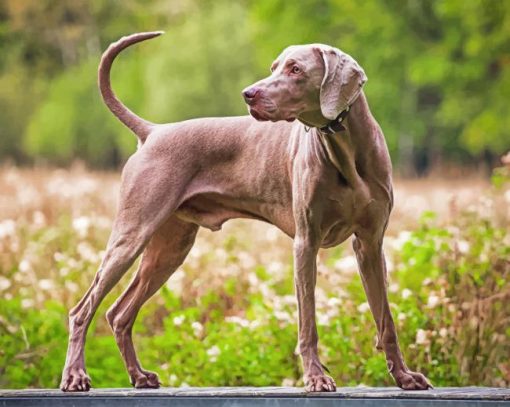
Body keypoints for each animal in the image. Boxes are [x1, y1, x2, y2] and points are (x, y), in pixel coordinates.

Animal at [60, 30, 434, 394]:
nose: (248, 94)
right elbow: (308, 322)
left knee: (119, 313)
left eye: (295, 69)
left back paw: (139, 376)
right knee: (82, 310)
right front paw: (316, 378)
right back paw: (76, 376)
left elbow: (386, 319)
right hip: (133, 232)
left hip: (170, 248)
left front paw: (404, 377)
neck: (344, 147)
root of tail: (153, 131)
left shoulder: (370, 243)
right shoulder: (306, 242)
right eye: (274, 67)